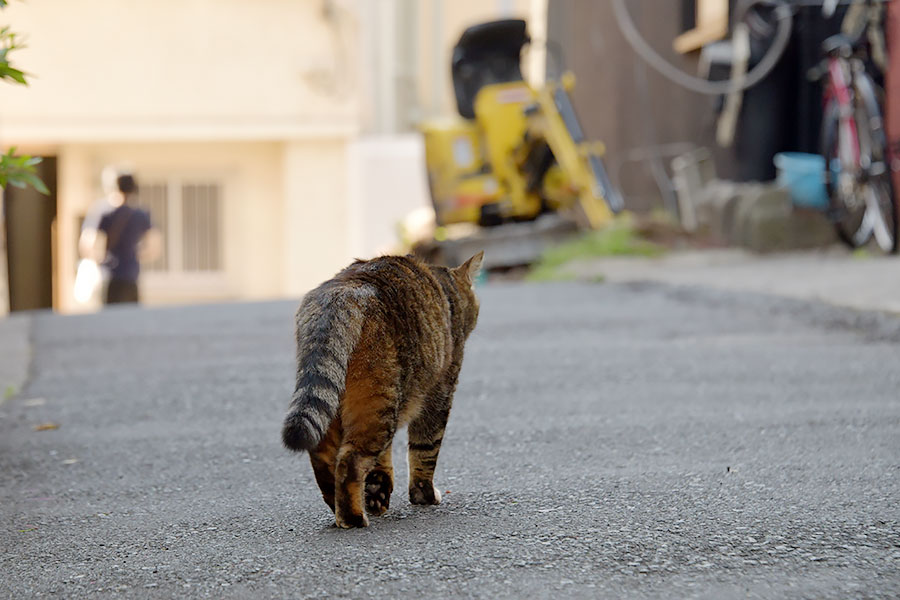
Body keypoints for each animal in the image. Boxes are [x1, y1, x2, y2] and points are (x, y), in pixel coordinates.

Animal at [282, 251, 482, 528]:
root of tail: (342, 291)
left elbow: (383, 461)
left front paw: (378, 494)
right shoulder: (439, 393)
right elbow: (425, 450)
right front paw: (424, 495)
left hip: (343, 400)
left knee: (323, 458)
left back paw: (340, 507)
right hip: (379, 399)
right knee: (350, 461)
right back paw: (354, 518)